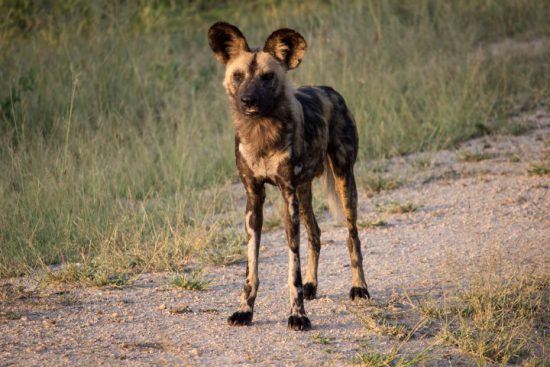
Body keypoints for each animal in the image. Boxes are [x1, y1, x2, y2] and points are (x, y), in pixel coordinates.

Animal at [208, 23, 370, 332]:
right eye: (238, 76)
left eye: (268, 77)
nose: (248, 100)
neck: (261, 133)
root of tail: (330, 90)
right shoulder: (254, 198)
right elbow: (251, 266)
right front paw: (245, 310)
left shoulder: (287, 195)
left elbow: (292, 267)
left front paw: (298, 314)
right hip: (305, 191)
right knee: (316, 234)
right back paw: (312, 284)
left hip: (343, 181)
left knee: (352, 236)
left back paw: (360, 288)